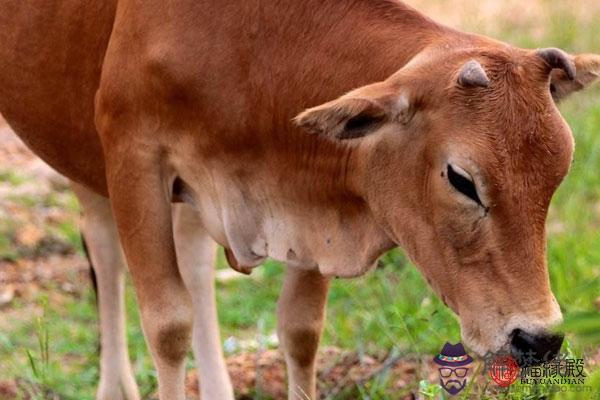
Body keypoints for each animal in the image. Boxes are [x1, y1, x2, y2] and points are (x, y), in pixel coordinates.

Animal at [1, 0, 600, 398]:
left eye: (558, 174)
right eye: (461, 179)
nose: (539, 340)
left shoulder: (314, 208)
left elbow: (300, 330)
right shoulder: (132, 154)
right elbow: (168, 325)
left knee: (192, 261)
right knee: (104, 251)